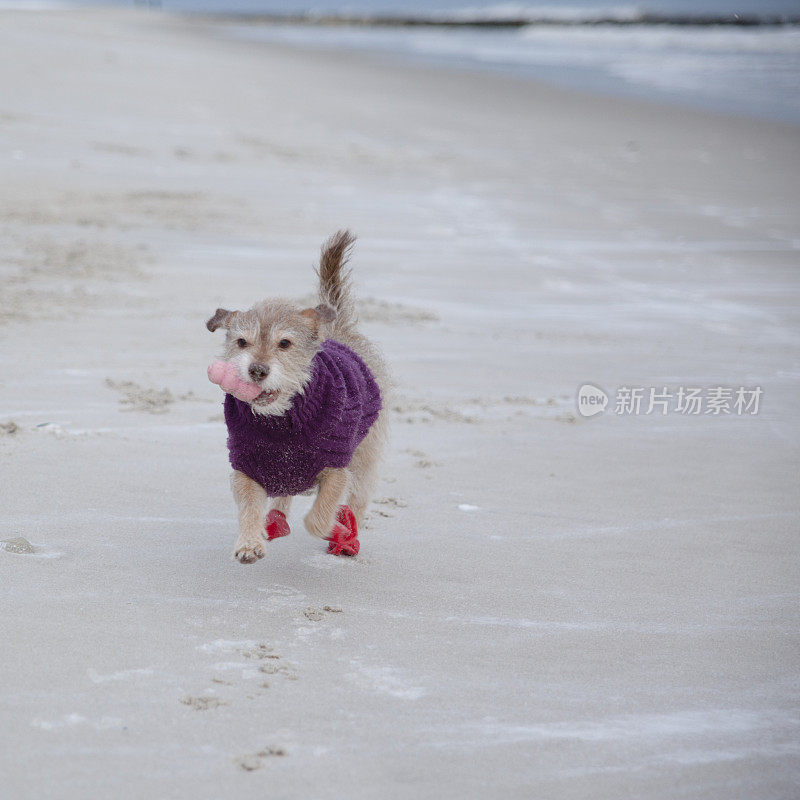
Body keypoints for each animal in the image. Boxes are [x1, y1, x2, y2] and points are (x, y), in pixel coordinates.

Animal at [206, 231, 388, 564]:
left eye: (285, 343)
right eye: (242, 342)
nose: (257, 370)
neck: (280, 421)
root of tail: (334, 329)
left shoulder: (336, 467)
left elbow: (318, 519)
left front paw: (338, 531)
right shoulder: (247, 466)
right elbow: (250, 507)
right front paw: (250, 542)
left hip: (365, 457)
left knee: (358, 499)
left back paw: (349, 538)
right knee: (284, 496)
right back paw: (276, 521)